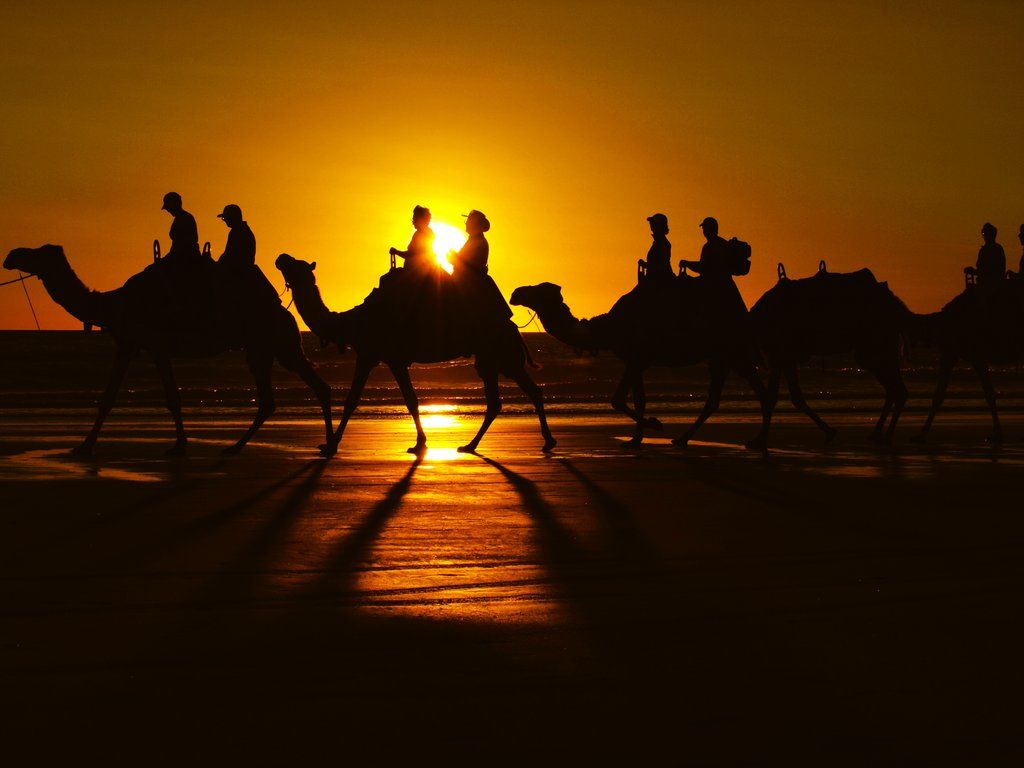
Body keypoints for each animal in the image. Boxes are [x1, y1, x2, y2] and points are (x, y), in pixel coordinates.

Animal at [4, 243, 335, 454]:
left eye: (38, 252)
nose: (10, 255)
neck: (116, 304)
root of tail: (284, 311)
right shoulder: (141, 345)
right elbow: (159, 397)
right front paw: (180, 442)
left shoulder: (143, 343)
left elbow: (128, 398)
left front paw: (84, 445)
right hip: (266, 349)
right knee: (283, 396)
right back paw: (244, 445)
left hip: (276, 345)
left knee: (301, 390)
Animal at [276, 256, 557, 454]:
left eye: (297, 266)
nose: (280, 257)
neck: (353, 322)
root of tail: (512, 326)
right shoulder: (393, 360)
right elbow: (410, 399)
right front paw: (420, 443)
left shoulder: (370, 355)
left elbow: (353, 400)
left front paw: (331, 445)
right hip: (490, 358)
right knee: (503, 399)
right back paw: (473, 445)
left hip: (501, 356)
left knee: (523, 393)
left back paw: (543, 441)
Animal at [507, 278, 770, 450]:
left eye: (539, 290)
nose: (515, 293)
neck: (608, 329)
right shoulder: (636, 361)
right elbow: (638, 399)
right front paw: (637, 438)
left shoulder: (636, 358)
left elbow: (618, 400)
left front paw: (654, 425)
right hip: (724, 355)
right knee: (723, 397)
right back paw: (686, 438)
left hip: (733, 350)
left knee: (755, 392)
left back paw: (757, 441)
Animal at [745, 264, 921, 444]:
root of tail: (896, 305)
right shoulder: (783, 357)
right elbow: (791, 397)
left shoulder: (780, 353)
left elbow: (777, 397)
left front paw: (760, 438)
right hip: (874, 348)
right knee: (894, 389)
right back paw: (878, 433)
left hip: (878, 343)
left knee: (898, 389)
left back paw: (886, 435)